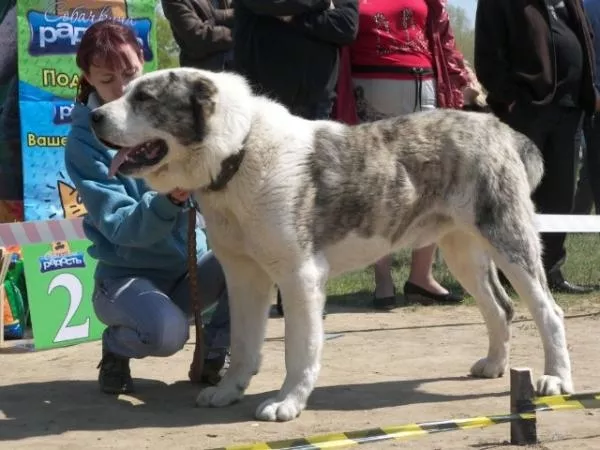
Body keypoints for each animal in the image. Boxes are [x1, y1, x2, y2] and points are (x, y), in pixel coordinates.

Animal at [90, 67, 572, 422]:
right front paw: (228, 391)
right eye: (125, 92)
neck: (239, 152)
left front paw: (287, 402)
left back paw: (556, 381)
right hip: (462, 251)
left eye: (145, 98)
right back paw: (493, 365)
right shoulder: (244, 277)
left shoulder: (298, 276)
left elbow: (299, 347)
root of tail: (498, 127)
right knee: (500, 308)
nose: (94, 117)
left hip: (509, 239)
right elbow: (245, 343)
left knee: (548, 310)